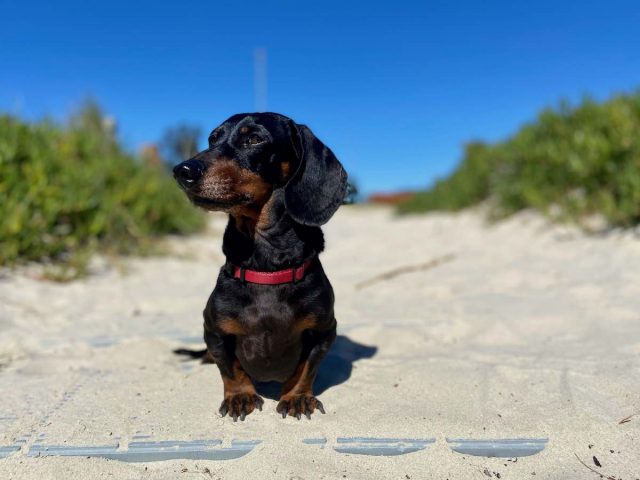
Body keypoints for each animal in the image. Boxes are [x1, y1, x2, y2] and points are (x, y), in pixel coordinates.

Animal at [172, 112, 348, 420]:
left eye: (254, 139)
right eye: (213, 139)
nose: (182, 171)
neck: (267, 269)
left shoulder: (324, 331)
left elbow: (307, 368)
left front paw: (297, 396)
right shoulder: (214, 331)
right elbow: (230, 368)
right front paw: (240, 396)